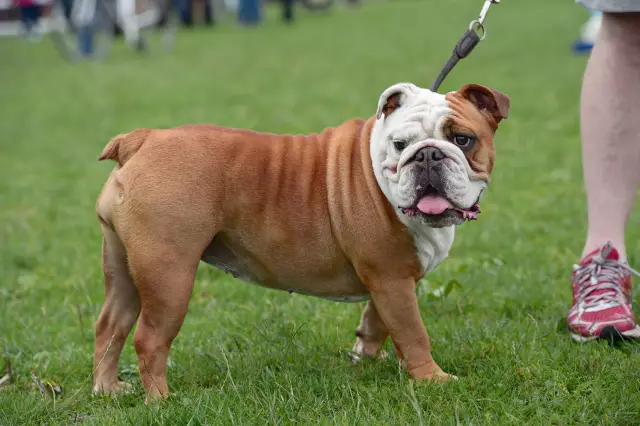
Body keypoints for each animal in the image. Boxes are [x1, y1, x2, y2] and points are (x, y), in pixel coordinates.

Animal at [92, 81, 510, 402]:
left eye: (463, 139)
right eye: (400, 144)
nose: (427, 155)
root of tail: (142, 140)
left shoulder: (389, 282)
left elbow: (379, 320)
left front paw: (367, 355)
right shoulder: (392, 279)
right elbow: (413, 331)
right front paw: (432, 380)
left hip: (125, 270)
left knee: (110, 326)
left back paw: (108, 389)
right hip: (170, 275)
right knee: (149, 338)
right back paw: (161, 400)